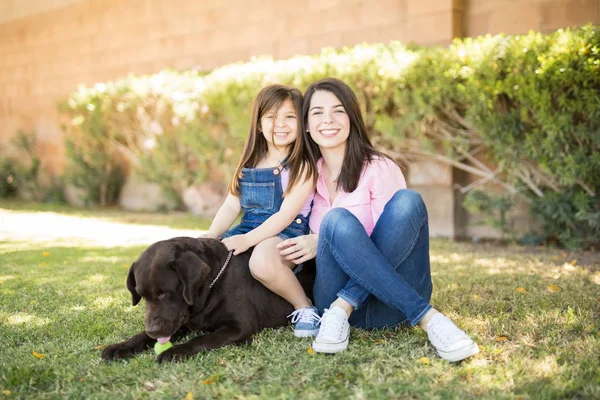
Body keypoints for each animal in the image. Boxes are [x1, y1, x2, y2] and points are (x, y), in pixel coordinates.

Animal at [99, 238, 314, 362]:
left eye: (165, 293)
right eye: (142, 295)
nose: (153, 330)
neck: (210, 289)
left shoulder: (239, 328)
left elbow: (203, 338)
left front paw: (174, 352)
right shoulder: (181, 322)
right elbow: (140, 336)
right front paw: (121, 346)